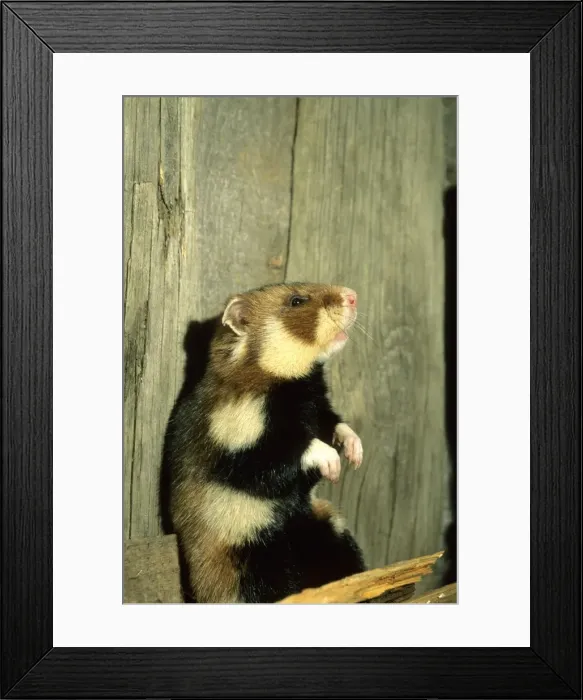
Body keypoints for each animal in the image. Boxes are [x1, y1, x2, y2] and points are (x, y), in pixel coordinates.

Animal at [167, 282, 365, 603]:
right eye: (296, 300)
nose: (352, 295)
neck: (299, 389)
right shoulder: (242, 447)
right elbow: (295, 450)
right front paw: (333, 465)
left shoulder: (319, 407)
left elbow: (337, 425)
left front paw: (355, 453)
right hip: (255, 562)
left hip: (331, 530)